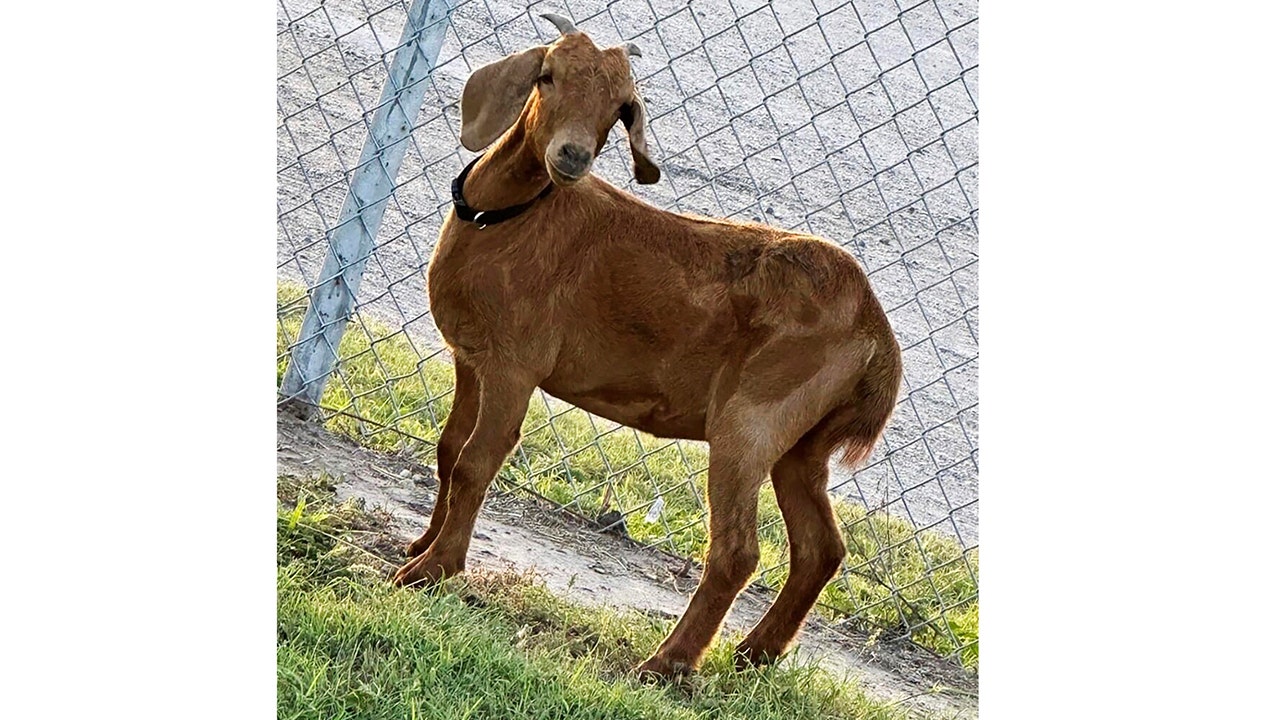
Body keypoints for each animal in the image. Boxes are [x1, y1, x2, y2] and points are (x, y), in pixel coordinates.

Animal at [394, 15, 906, 676]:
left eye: (621, 109)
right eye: (547, 74)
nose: (573, 156)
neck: (511, 218)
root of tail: (875, 331)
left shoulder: (514, 365)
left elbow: (476, 462)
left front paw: (432, 571)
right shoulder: (470, 359)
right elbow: (448, 448)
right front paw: (420, 544)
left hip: (752, 418)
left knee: (738, 550)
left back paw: (668, 664)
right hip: (802, 444)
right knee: (821, 548)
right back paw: (754, 654)